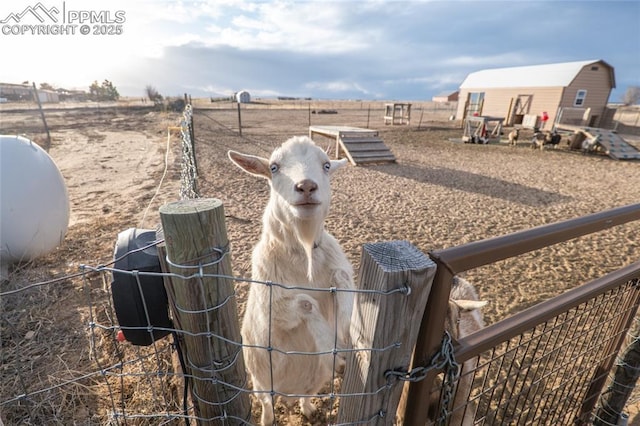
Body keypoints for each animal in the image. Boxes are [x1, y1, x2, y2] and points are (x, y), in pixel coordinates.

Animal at [228, 137, 356, 426]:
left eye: (327, 165)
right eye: (274, 167)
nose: (306, 186)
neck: (304, 253)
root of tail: (288, 391)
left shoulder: (339, 270)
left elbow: (343, 283)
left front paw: (343, 337)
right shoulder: (273, 309)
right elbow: (306, 301)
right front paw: (330, 345)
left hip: (315, 378)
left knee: (306, 395)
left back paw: (308, 410)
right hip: (260, 378)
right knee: (267, 401)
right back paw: (267, 419)